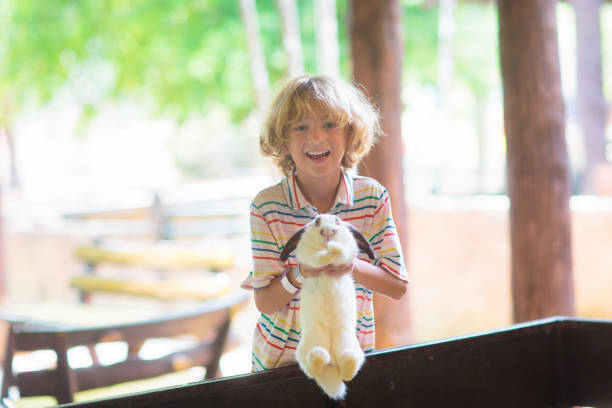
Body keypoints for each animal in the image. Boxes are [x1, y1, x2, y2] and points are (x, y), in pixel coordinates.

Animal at [280, 214, 376, 398]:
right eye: (317, 221)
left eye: (337, 222)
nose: (328, 232)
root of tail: (331, 366)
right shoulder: (308, 254)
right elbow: (317, 257)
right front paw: (328, 252)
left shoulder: (348, 251)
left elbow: (343, 252)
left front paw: (335, 248)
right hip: (304, 349)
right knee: (312, 371)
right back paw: (319, 355)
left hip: (348, 342)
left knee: (348, 373)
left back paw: (346, 358)